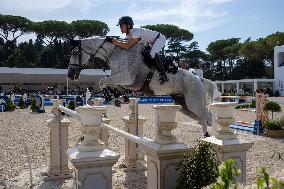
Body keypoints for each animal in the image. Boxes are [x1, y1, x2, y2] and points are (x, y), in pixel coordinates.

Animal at [67, 37, 221, 137]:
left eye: (74, 53)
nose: (70, 74)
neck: (117, 54)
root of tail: (199, 78)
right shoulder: (127, 82)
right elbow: (109, 84)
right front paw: (117, 98)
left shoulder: (128, 78)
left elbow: (103, 81)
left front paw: (114, 97)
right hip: (184, 106)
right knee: (203, 119)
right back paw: (206, 137)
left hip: (194, 103)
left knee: (208, 116)